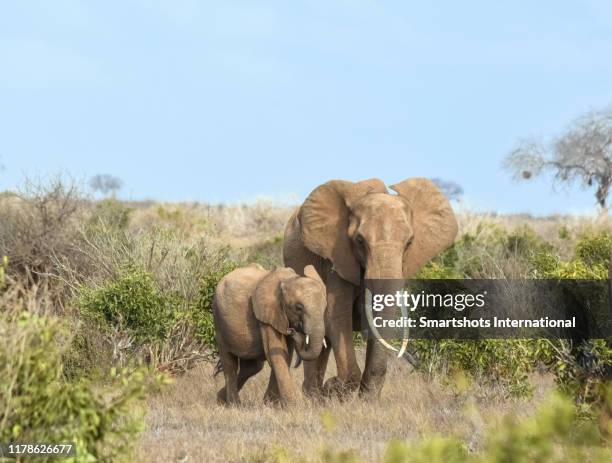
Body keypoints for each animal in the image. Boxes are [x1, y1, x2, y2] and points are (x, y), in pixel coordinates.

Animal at [213, 264, 328, 406]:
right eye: (298, 308)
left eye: (325, 307)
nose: (294, 331)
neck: (289, 280)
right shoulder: (267, 315)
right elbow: (277, 353)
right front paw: (293, 406)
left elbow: (285, 355)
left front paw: (271, 404)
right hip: (218, 321)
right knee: (230, 363)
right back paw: (233, 404)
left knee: (252, 367)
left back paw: (221, 398)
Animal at [280, 178, 454, 398]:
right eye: (360, 241)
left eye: (409, 243)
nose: (332, 382)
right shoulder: (336, 257)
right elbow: (336, 316)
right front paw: (334, 388)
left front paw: (366, 399)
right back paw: (314, 395)